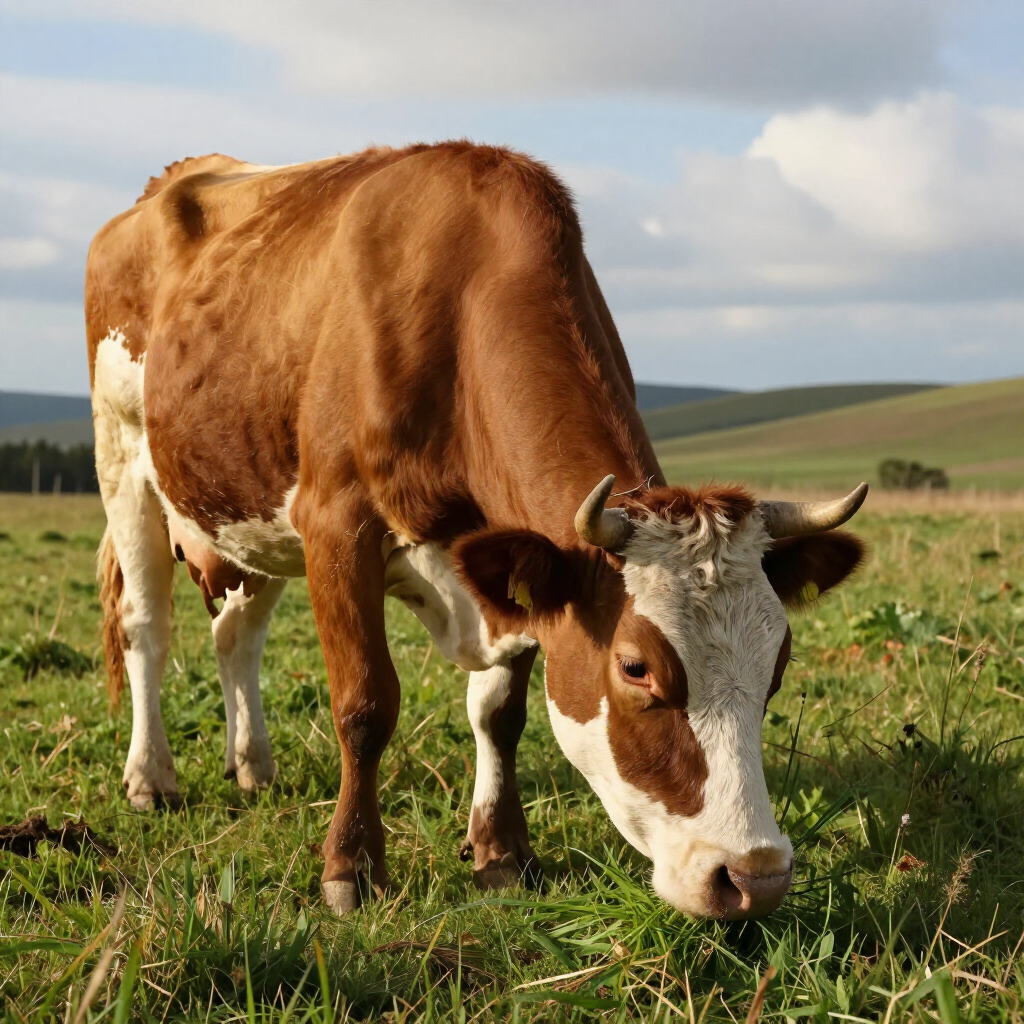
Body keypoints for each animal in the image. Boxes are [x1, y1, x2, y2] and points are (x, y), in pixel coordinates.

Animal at [86, 143, 866, 920]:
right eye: (636, 667)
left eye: (778, 662)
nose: (753, 875)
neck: (456, 317)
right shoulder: (335, 526)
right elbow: (364, 704)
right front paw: (351, 867)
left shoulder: (511, 567)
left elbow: (499, 714)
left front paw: (501, 851)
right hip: (122, 461)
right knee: (145, 628)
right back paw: (151, 777)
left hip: (245, 512)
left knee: (236, 636)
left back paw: (252, 765)